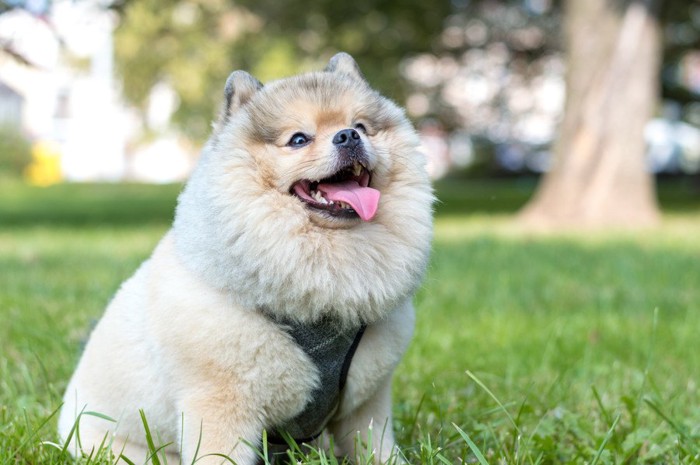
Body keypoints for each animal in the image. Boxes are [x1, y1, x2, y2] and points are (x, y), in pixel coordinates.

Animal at [58, 52, 432, 462]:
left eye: (361, 126)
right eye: (298, 139)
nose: (349, 136)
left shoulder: (367, 402)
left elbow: (375, 446)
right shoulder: (220, 404)